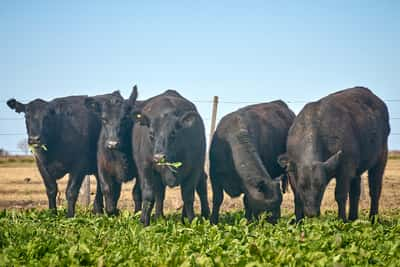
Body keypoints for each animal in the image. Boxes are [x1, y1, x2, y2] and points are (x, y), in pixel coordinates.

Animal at [84, 87, 141, 216]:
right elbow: (107, 189)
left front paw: (137, 213)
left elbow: (137, 192)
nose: (112, 143)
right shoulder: (103, 168)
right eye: (104, 119)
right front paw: (112, 211)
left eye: (124, 118)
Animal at [133, 90, 211, 226]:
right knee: (159, 193)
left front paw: (191, 222)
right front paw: (144, 222)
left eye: (173, 133)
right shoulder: (145, 167)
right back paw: (159, 216)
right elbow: (149, 195)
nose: (159, 157)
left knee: (201, 185)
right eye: (151, 133)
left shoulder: (194, 169)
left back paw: (202, 215)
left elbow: (188, 195)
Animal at [280, 87, 390, 222]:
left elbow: (340, 195)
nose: (311, 213)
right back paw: (353, 218)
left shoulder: (345, 169)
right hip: (357, 169)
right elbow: (297, 196)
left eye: (321, 186)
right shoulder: (292, 173)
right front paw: (298, 221)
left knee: (375, 189)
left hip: (381, 157)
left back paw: (373, 218)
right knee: (355, 191)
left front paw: (341, 220)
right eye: (302, 186)